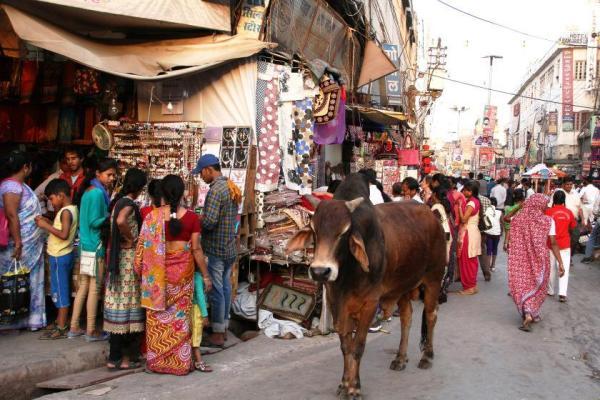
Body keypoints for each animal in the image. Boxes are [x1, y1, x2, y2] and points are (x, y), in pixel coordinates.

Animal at [286, 173, 446, 400]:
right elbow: (346, 346)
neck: (347, 275)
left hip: (433, 278)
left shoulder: (369, 304)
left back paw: (427, 357)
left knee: (431, 315)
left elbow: (358, 346)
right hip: (403, 287)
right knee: (407, 318)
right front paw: (344, 384)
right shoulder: (337, 304)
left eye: (344, 232)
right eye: (315, 230)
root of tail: (432, 216)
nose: (320, 271)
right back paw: (400, 358)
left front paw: (355, 388)